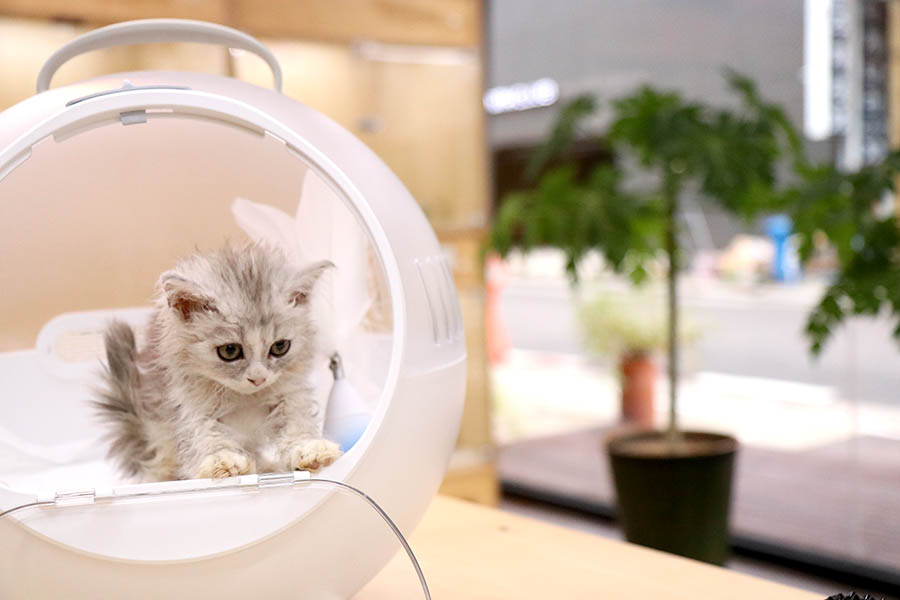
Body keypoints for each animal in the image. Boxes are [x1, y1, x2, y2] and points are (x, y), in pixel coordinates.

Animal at [94, 242, 343, 482]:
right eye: (230, 351)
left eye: (280, 347)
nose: (258, 379)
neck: (245, 399)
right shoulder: (187, 406)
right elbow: (205, 435)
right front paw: (222, 460)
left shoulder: (288, 394)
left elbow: (296, 421)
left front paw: (308, 449)